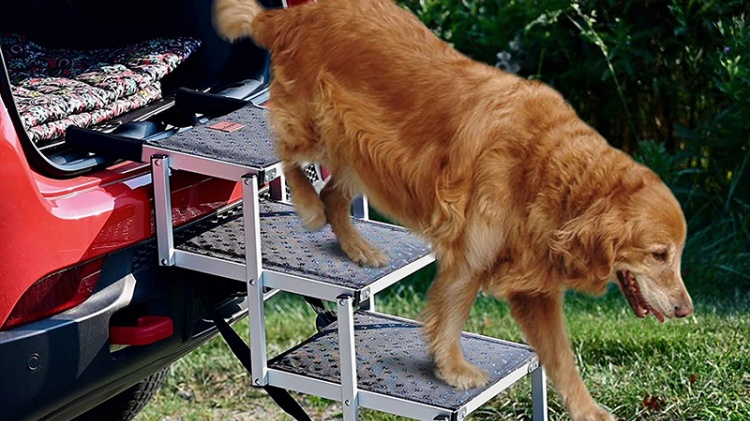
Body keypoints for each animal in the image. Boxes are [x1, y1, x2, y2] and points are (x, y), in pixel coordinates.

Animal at [212, 0, 692, 416]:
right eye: (659, 255)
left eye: (676, 256)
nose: (686, 310)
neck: (549, 165)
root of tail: (293, 17)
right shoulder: (471, 253)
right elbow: (452, 313)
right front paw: (454, 370)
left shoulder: (534, 288)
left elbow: (561, 359)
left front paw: (589, 412)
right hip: (316, 122)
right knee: (288, 155)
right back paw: (308, 207)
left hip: (358, 151)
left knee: (333, 196)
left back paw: (359, 250)